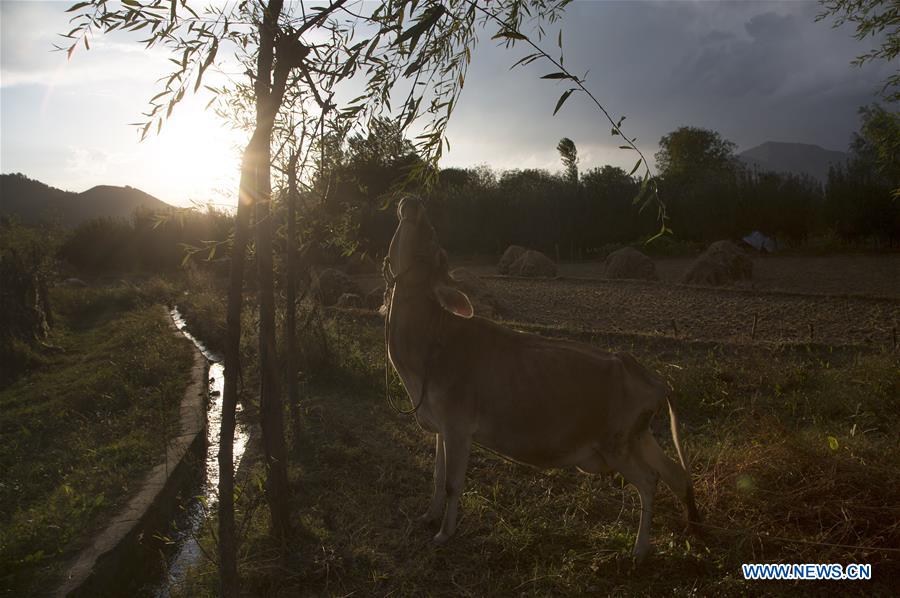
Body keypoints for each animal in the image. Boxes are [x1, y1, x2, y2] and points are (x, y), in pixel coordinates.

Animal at [384, 197, 700, 564]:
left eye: (433, 239)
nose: (413, 201)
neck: (426, 349)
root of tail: (642, 370)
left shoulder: (458, 426)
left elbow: (452, 484)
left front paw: (444, 534)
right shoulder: (438, 424)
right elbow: (436, 477)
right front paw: (428, 517)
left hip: (617, 445)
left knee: (650, 481)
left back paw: (639, 550)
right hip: (639, 437)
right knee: (676, 474)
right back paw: (692, 527)